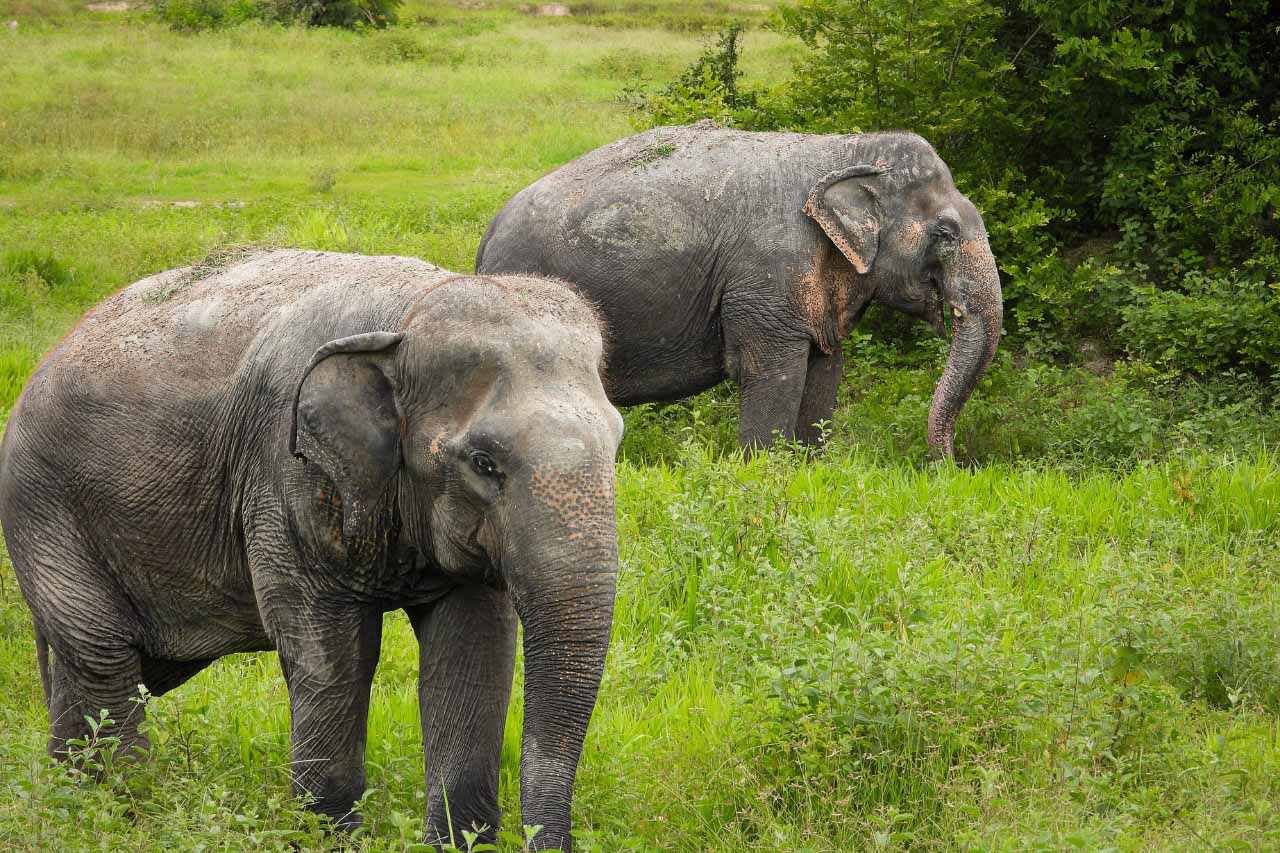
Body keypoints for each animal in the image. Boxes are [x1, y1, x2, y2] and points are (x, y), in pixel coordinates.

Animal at [0, 249, 624, 852]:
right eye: (484, 462)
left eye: (616, 441)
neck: (408, 314)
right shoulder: (283, 472)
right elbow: (332, 651)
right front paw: (330, 838)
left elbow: (472, 650)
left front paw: (457, 843)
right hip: (42, 506)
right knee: (104, 653)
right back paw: (120, 814)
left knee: (124, 666)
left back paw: (68, 800)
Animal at [476, 122, 1003, 457]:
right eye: (946, 233)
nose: (951, 466)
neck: (847, 151)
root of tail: (488, 235)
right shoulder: (767, 277)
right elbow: (772, 373)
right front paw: (762, 471)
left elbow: (825, 371)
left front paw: (807, 466)